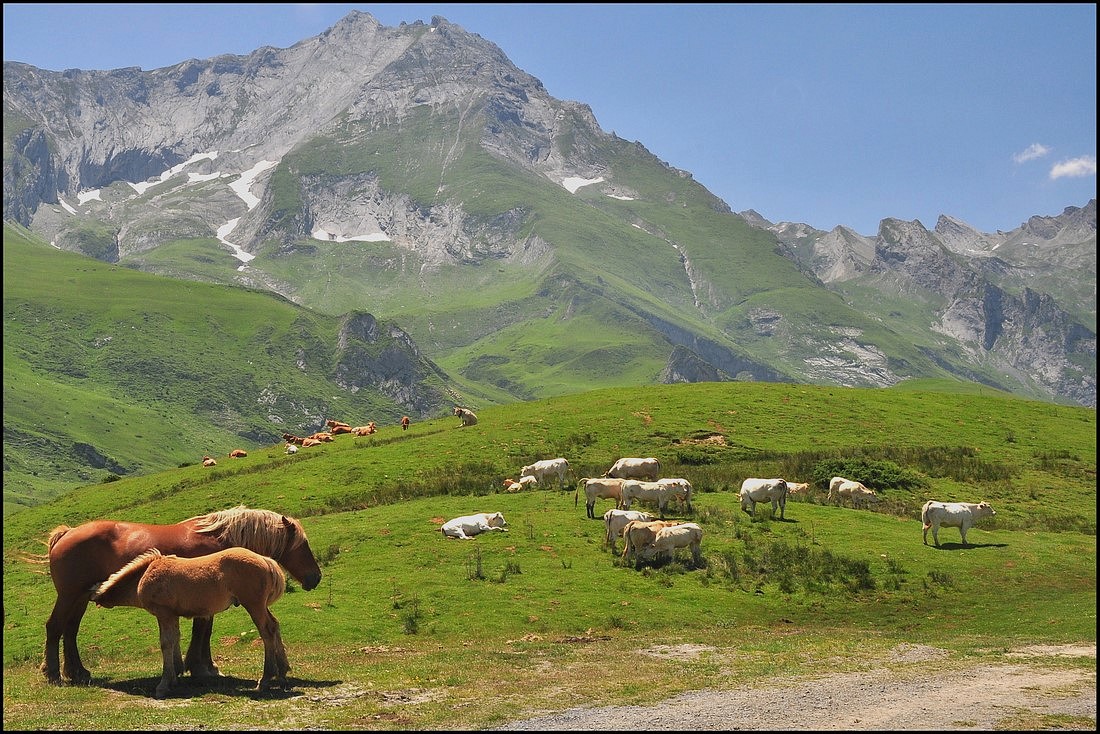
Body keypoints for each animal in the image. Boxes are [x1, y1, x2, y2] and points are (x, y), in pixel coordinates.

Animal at [91, 548, 288, 699]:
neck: (145, 575)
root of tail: (265, 560)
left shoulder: (163, 613)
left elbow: (166, 643)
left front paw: (164, 685)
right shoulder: (172, 616)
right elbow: (175, 639)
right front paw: (175, 676)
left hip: (253, 605)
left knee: (267, 631)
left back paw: (265, 679)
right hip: (261, 606)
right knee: (275, 625)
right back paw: (283, 674)